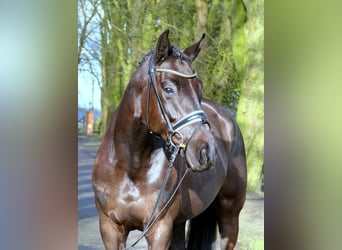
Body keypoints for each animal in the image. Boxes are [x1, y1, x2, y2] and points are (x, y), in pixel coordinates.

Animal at [92, 29, 247, 250]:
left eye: (199, 88)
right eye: (167, 89)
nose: (206, 151)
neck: (130, 167)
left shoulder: (159, 230)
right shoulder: (110, 229)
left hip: (229, 213)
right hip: (180, 223)